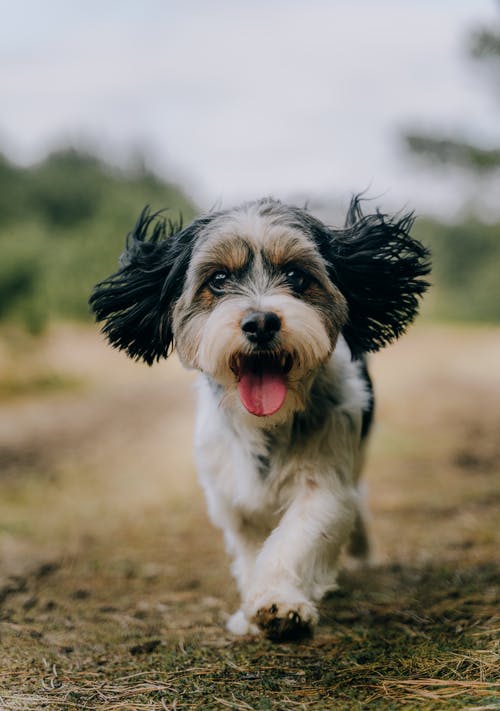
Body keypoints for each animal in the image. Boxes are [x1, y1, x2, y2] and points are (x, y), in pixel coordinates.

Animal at [89, 197, 430, 644]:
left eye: (297, 275)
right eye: (217, 279)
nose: (262, 321)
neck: (268, 426)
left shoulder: (324, 481)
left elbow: (297, 538)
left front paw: (278, 603)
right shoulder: (233, 495)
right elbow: (252, 549)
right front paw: (252, 610)